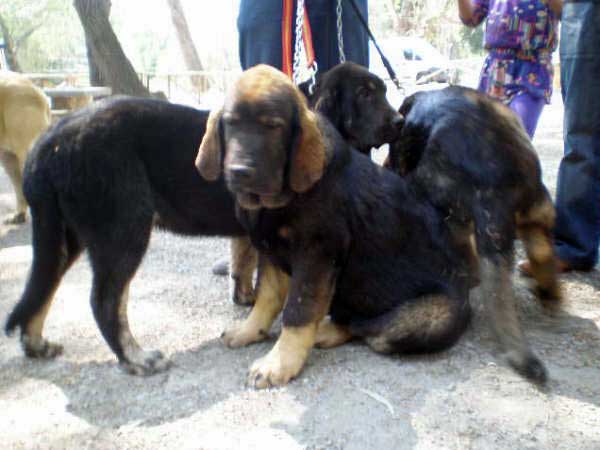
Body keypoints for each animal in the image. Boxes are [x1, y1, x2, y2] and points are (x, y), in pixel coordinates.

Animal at [4, 96, 258, 374]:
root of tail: (50, 141)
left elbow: (243, 265)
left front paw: (247, 299)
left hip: (62, 238)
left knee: (43, 286)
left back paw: (36, 344)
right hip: (125, 232)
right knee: (104, 302)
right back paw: (136, 357)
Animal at [196, 65, 474, 388]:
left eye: (273, 127)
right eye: (230, 124)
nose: (239, 172)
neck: (280, 199)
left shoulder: (317, 255)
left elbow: (299, 310)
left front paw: (280, 363)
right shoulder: (271, 252)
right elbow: (266, 297)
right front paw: (250, 331)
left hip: (435, 317)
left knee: (368, 328)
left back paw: (325, 331)